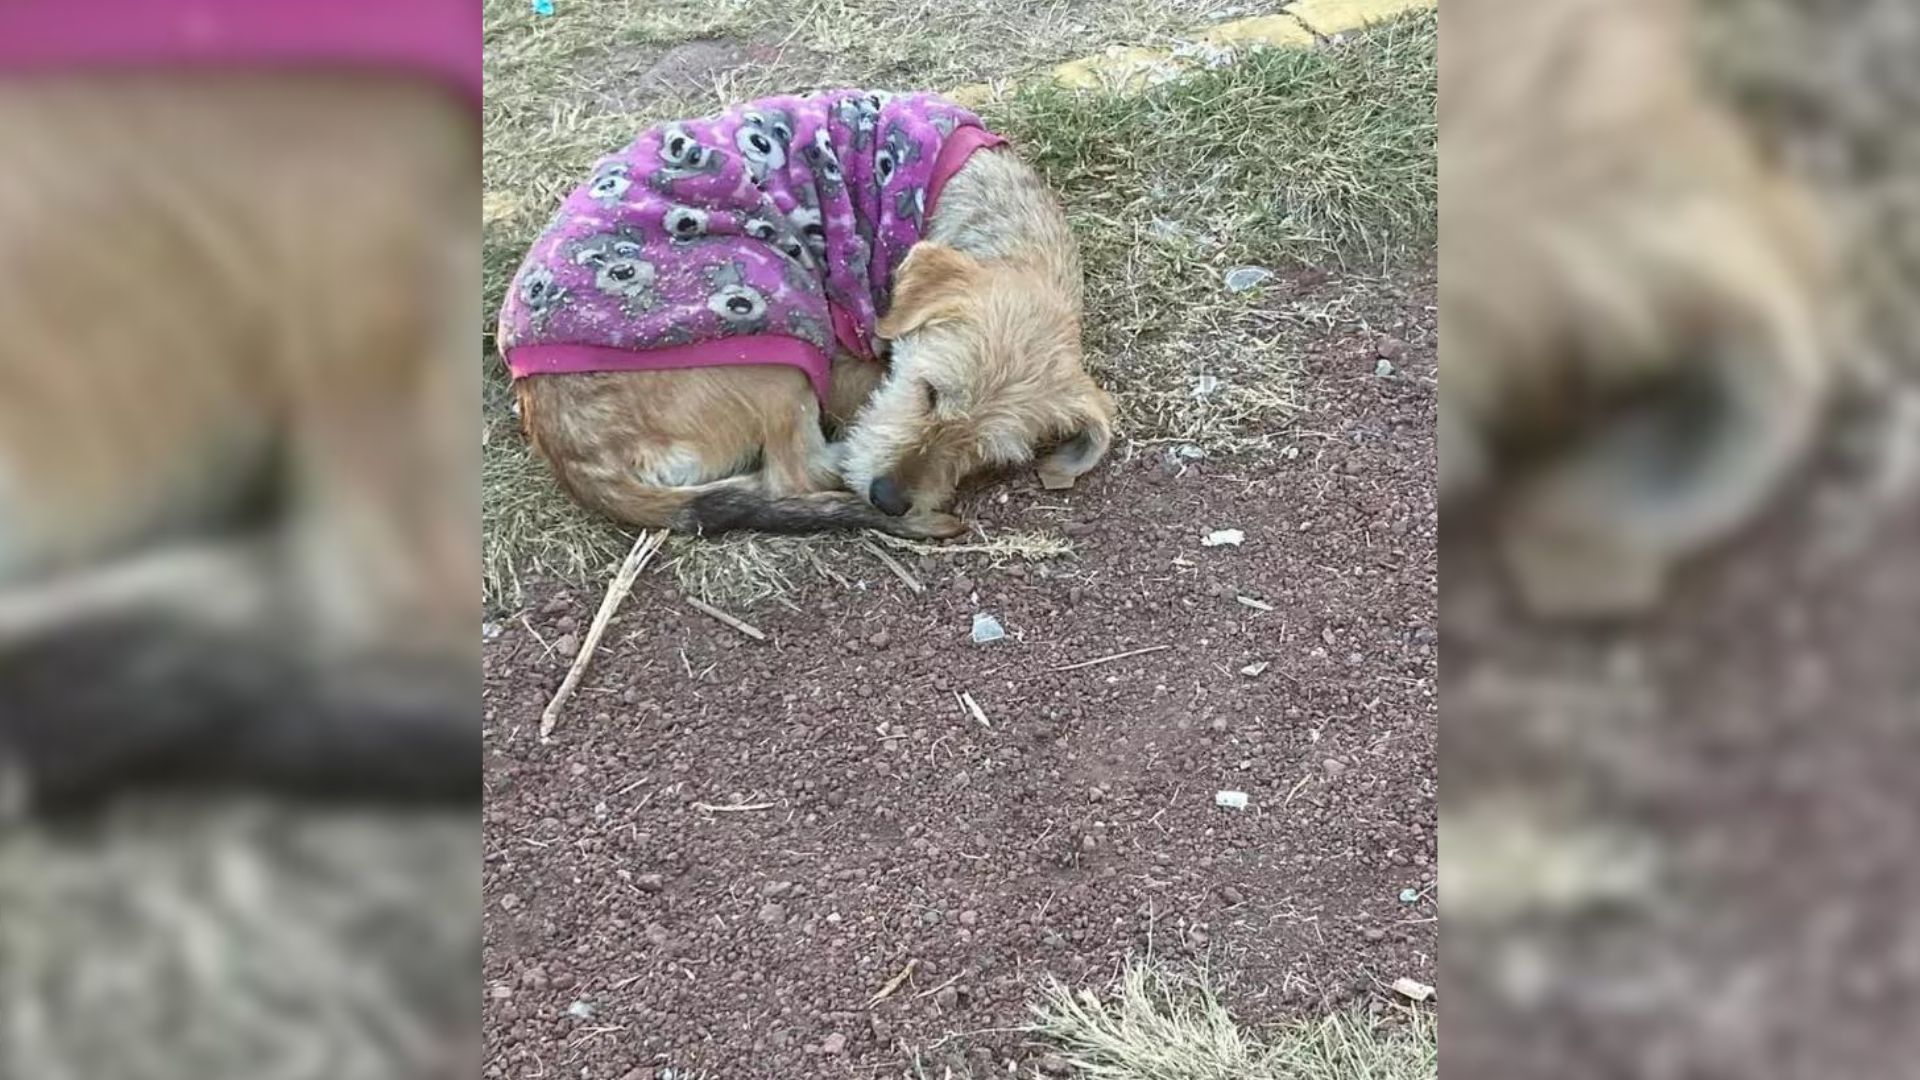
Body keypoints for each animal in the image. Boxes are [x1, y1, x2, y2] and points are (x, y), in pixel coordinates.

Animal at [503, 87, 1121, 538]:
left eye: (986, 455)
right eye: (928, 391)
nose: (889, 499)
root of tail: (576, 455)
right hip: (780, 323)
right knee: (792, 474)